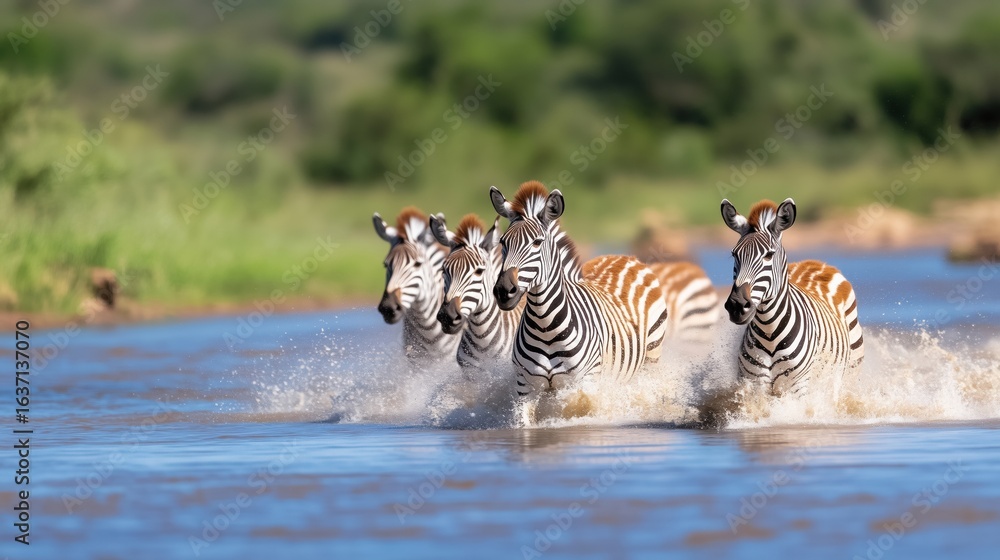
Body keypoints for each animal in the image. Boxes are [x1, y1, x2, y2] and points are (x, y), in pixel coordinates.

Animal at [490, 181, 670, 397]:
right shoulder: (524, 387)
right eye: (503, 242)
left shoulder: (584, 382)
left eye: (537, 243)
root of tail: (626, 257)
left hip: (651, 355)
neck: (545, 326)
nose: (503, 290)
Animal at [720, 198, 864, 396]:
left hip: (850, 372)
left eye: (769, 255)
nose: (737, 305)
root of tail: (816, 262)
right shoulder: (754, 387)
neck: (769, 332)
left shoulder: (797, 387)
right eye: (734, 254)